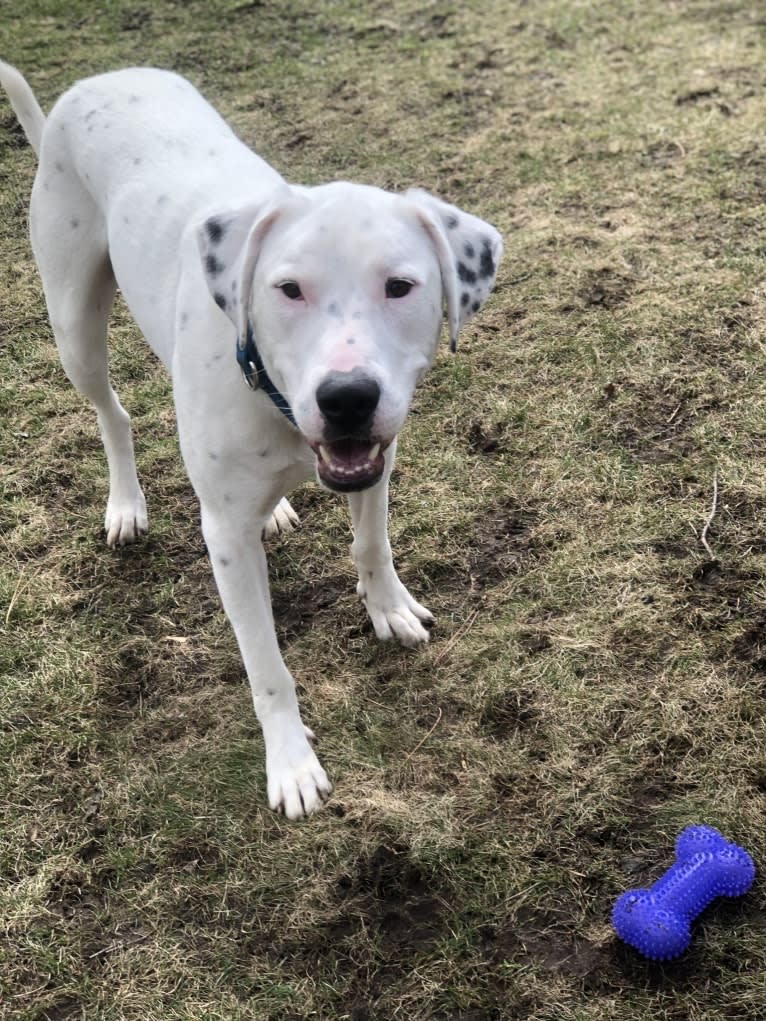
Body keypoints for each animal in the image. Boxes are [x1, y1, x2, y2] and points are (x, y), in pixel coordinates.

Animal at [1, 61, 504, 812]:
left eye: (400, 286)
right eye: (288, 289)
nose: (348, 398)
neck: (276, 402)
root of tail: (98, 81)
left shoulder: (375, 459)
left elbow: (371, 543)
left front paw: (388, 607)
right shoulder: (226, 540)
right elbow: (266, 664)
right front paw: (290, 762)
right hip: (73, 325)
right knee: (113, 413)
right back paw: (126, 505)